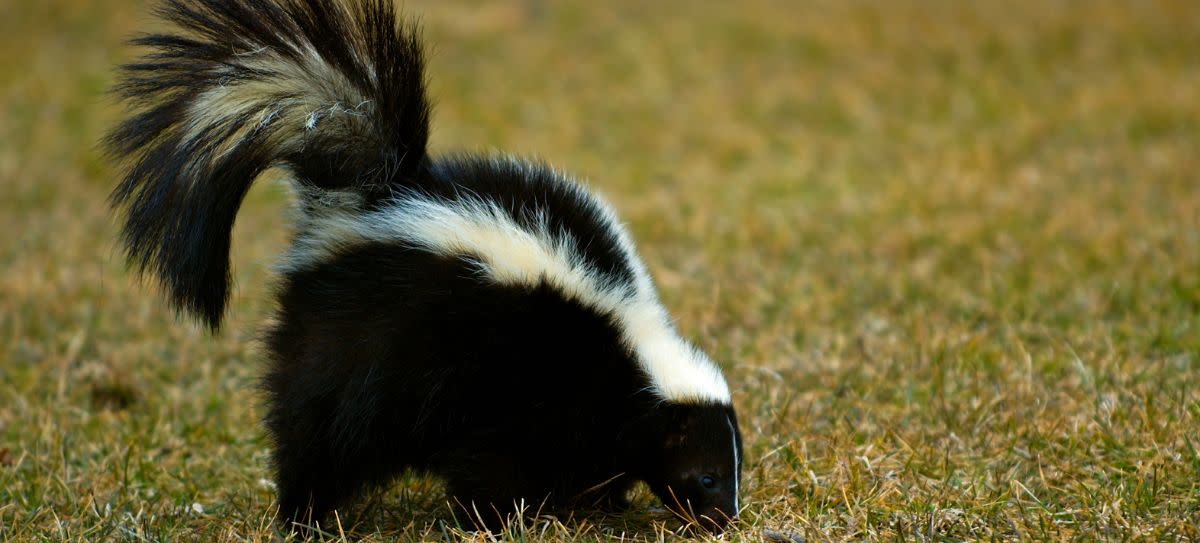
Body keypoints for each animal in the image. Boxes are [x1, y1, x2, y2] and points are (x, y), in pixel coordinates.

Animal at [105, 0, 739, 533]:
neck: (627, 346)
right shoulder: (517, 387)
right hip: (354, 347)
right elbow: (493, 463)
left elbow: (596, 456)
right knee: (315, 431)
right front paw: (498, 518)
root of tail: (370, 197)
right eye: (706, 475)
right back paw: (302, 517)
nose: (725, 519)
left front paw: (600, 499)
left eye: (731, 469)